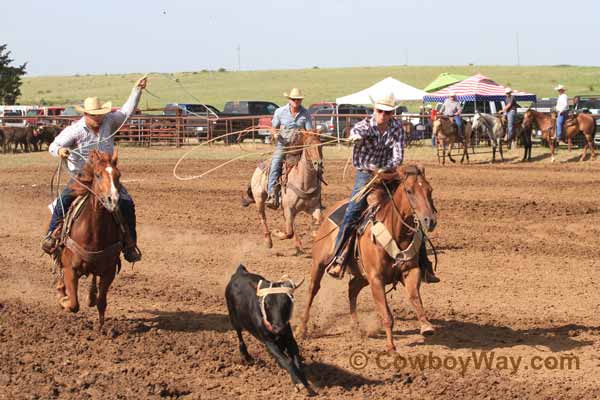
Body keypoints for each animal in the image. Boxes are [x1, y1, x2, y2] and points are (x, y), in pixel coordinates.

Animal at [55, 148, 124, 326]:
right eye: (98, 175)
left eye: (118, 175)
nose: (113, 200)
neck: (94, 234)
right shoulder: (70, 269)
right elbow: (73, 304)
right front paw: (64, 301)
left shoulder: (109, 271)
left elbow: (102, 302)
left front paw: (101, 328)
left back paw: (91, 297)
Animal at [223, 266, 314, 394]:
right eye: (267, 304)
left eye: (287, 303)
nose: (278, 328)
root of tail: (239, 272)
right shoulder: (268, 342)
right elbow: (286, 360)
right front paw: (298, 382)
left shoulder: (289, 338)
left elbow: (295, 359)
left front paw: (304, 381)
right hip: (234, 319)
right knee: (240, 336)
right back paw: (246, 356)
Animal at [298, 164, 436, 352]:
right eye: (409, 191)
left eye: (430, 190)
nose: (430, 221)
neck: (394, 230)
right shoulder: (376, 278)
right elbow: (386, 314)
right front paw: (391, 346)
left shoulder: (410, 271)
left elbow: (414, 296)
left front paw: (426, 325)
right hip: (319, 263)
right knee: (313, 289)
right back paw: (302, 329)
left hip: (361, 275)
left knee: (352, 289)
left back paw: (357, 327)